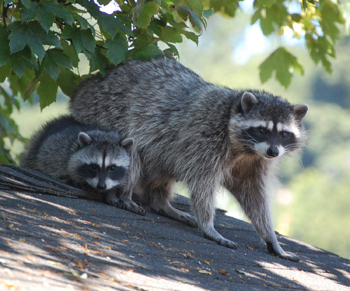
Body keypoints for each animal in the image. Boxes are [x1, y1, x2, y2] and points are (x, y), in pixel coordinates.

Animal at [69, 57, 308, 262]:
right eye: (262, 130)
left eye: (284, 134)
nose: (273, 152)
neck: (245, 148)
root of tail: (88, 84)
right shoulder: (205, 137)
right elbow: (203, 184)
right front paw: (208, 224)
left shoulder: (253, 163)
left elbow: (252, 194)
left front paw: (270, 236)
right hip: (105, 112)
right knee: (132, 153)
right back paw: (124, 195)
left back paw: (162, 203)